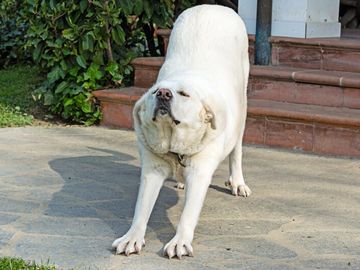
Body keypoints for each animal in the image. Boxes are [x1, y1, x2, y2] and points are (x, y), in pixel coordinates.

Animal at [112, 3, 250, 258]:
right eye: (154, 92)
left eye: (184, 94)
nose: (164, 93)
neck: (174, 146)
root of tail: (212, 6)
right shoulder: (152, 169)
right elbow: (141, 207)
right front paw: (132, 237)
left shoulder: (201, 170)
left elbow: (189, 212)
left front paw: (180, 242)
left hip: (243, 106)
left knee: (236, 149)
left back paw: (237, 182)